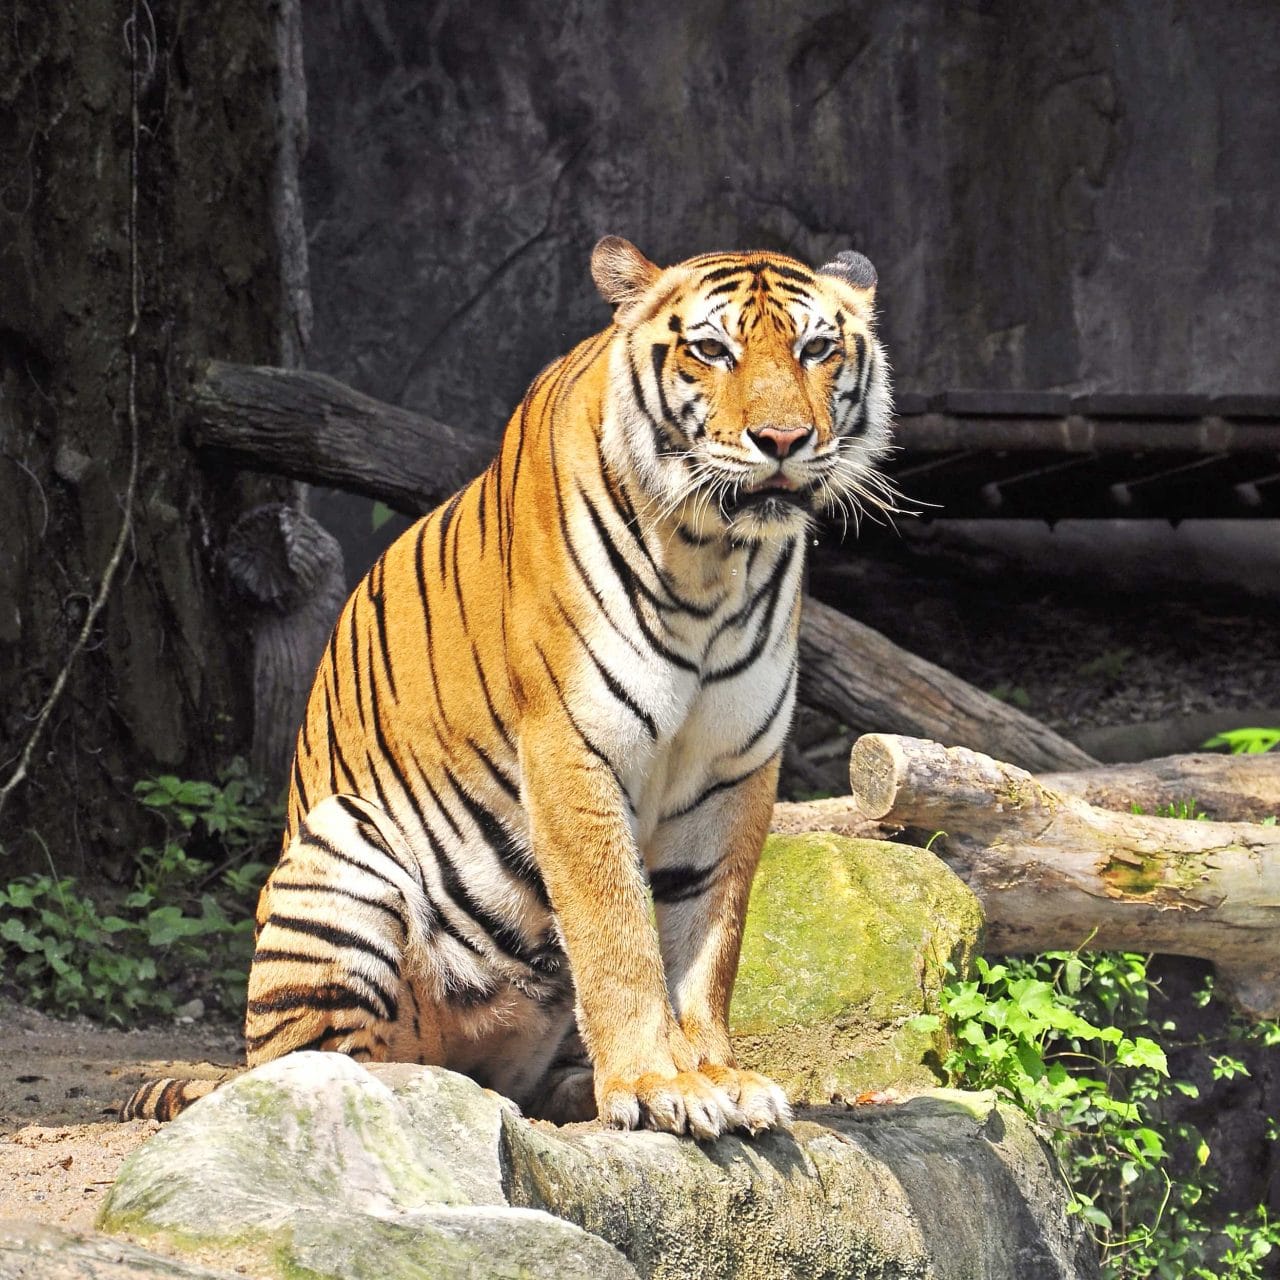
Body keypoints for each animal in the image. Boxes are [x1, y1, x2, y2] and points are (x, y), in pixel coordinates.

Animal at [124, 235, 896, 1136]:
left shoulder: (733, 767)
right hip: (341, 851)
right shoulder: (573, 744)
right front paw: (656, 1083)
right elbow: (614, 927)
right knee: (319, 1069)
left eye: (817, 349)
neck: (715, 556)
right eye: (712, 350)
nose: (783, 438)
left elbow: (708, 936)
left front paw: (715, 1077)